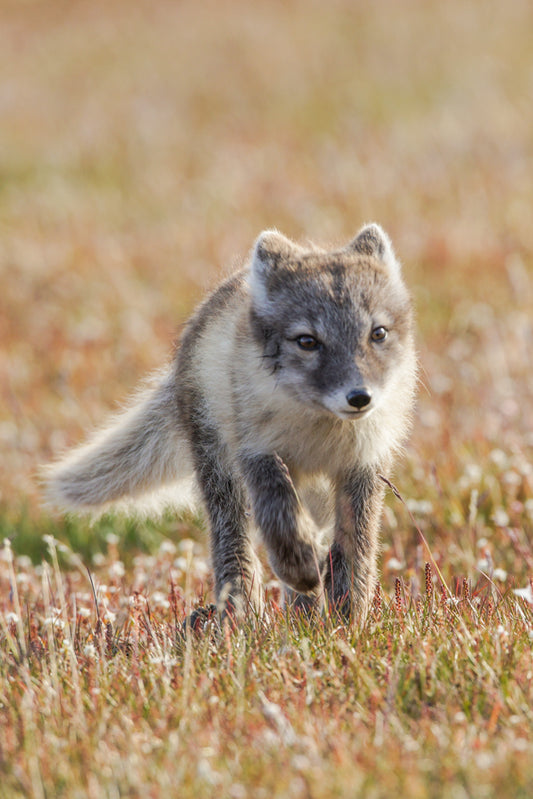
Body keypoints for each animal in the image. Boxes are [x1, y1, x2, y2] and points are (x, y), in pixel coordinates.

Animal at [44, 223, 417, 623]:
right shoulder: (256, 452)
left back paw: (301, 617)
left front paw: (348, 619)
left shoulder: (364, 465)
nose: (360, 397)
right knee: (234, 543)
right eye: (307, 341)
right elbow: (278, 515)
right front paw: (298, 566)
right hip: (220, 469)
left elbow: (355, 548)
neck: (320, 431)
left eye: (378, 333)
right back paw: (242, 615)